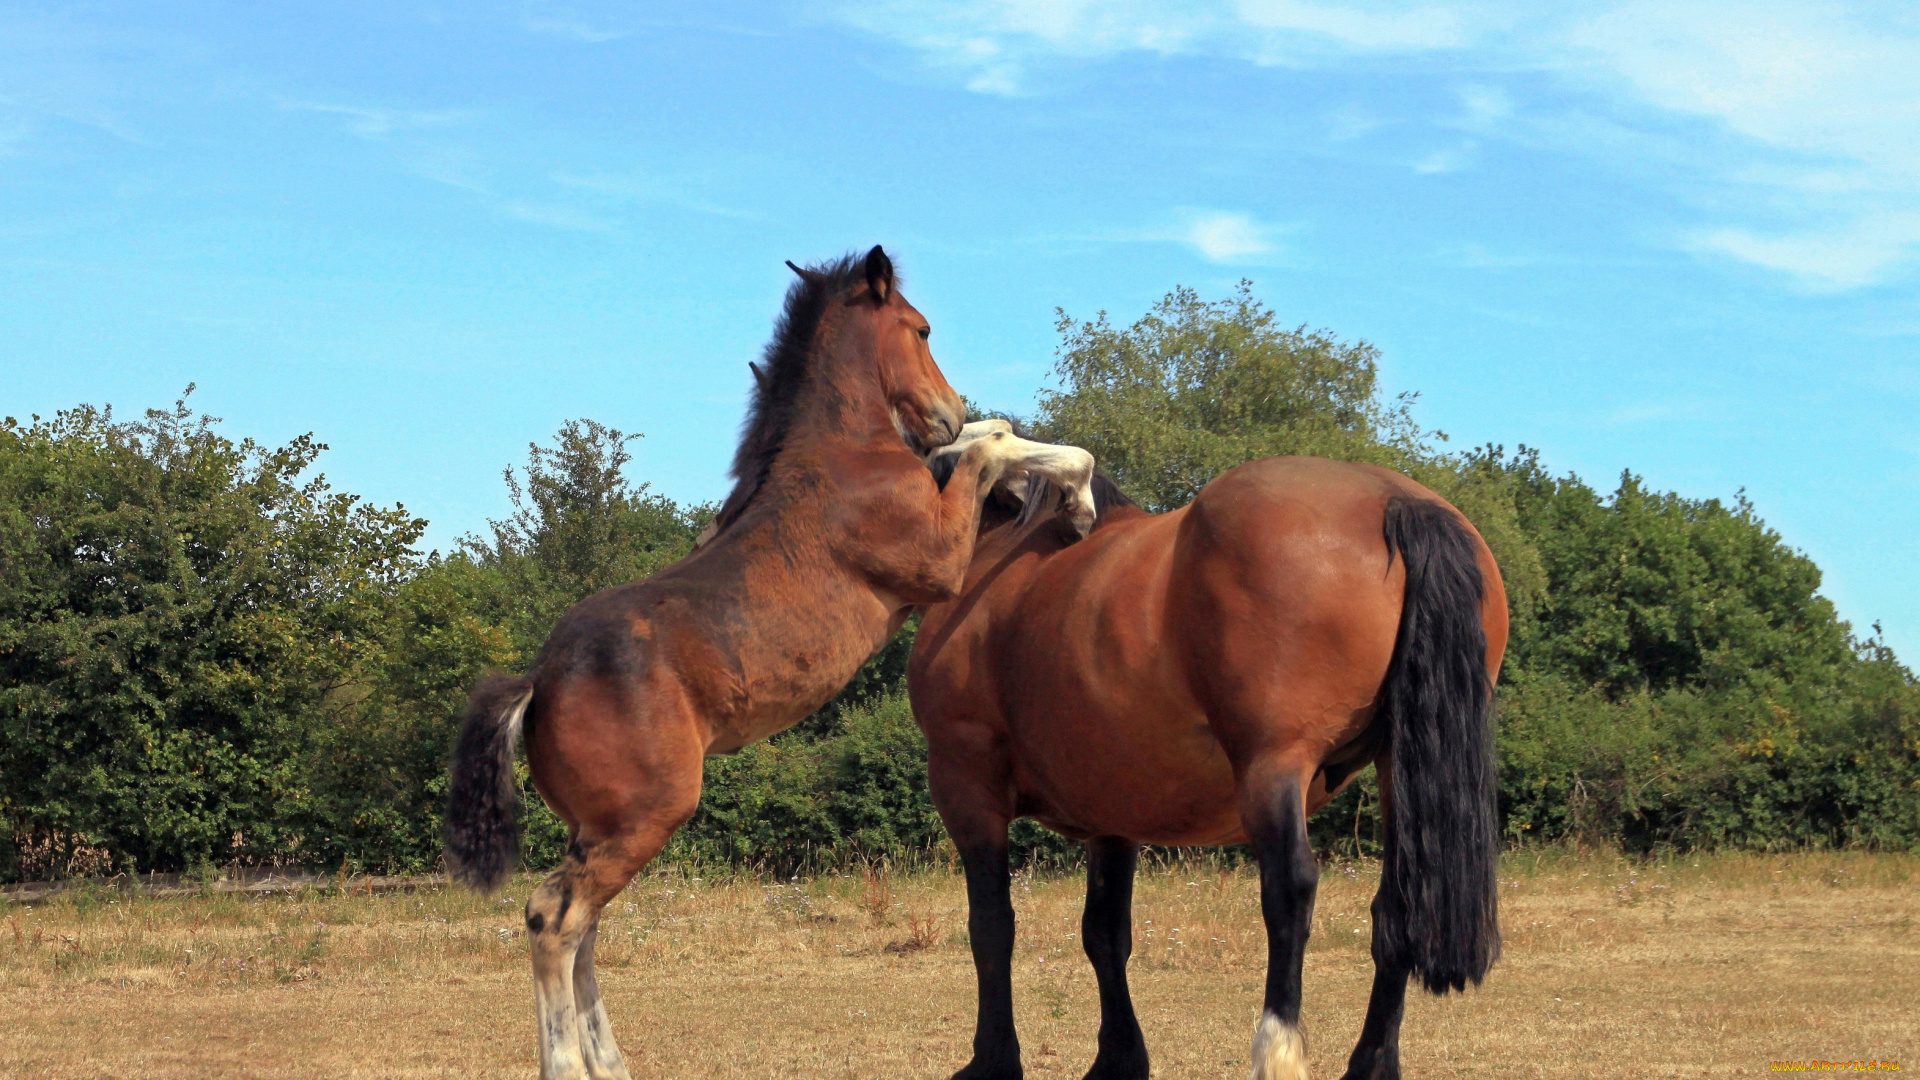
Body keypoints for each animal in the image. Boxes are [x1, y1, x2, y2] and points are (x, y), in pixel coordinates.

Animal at [439, 245, 1090, 1076]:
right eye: (921, 328)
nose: (944, 405)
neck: (845, 458)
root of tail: (539, 681)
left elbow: (983, 441)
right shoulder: (940, 559)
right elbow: (989, 442)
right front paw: (1075, 492)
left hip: (600, 828)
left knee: (583, 927)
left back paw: (614, 1062)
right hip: (645, 816)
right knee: (554, 918)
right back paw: (571, 1065)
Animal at [906, 449, 1505, 1068]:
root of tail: (1396, 500)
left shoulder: (967, 788)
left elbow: (991, 928)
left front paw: (993, 1059)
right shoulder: (1112, 813)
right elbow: (1104, 932)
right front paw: (1117, 1059)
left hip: (1273, 766)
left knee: (1290, 891)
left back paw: (1278, 1050)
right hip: (1394, 770)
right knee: (1397, 909)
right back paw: (1370, 1064)